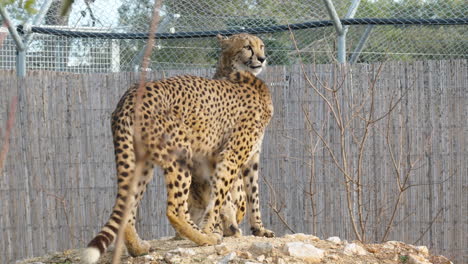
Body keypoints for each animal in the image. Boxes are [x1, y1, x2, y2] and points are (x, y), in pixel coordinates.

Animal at [82, 34, 274, 262]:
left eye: (262, 46)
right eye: (247, 47)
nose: (262, 58)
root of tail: (130, 94)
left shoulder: (242, 159)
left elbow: (252, 194)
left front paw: (259, 229)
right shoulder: (229, 156)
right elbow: (221, 197)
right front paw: (215, 229)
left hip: (141, 162)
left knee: (129, 206)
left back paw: (138, 248)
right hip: (180, 155)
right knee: (175, 209)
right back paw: (203, 237)